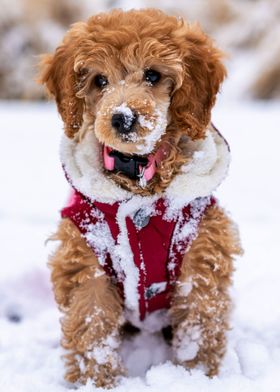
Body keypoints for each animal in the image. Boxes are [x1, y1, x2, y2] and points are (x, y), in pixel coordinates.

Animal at [38, 7, 242, 388]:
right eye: (99, 80)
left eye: (152, 75)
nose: (122, 118)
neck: (140, 175)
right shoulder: (86, 253)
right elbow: (91, 323)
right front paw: (96, 382)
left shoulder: (200, 248)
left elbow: (200, 321)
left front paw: (196, 376)